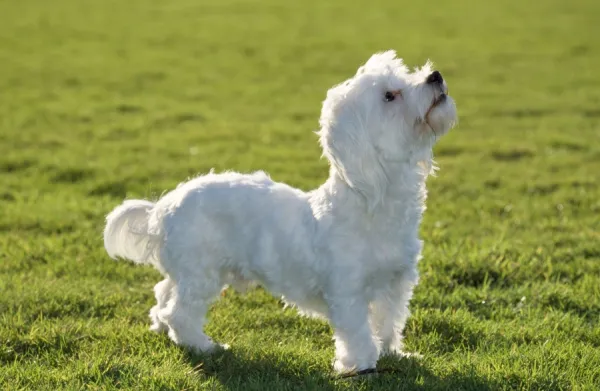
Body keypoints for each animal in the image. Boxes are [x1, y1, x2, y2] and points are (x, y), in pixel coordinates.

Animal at [104, 50, 460, 376]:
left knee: (164, 293)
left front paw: (391, 353)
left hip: (187, 271)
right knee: (181, 313)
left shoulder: (395, 284)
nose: (435, 76)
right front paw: (360, 365)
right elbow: (358, 332)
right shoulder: (347, 290)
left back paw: (161, 325)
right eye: (390, 95)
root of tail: (163, 208)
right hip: (200, 272)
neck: (372, 203)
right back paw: (202, 346)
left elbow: (387, 323)